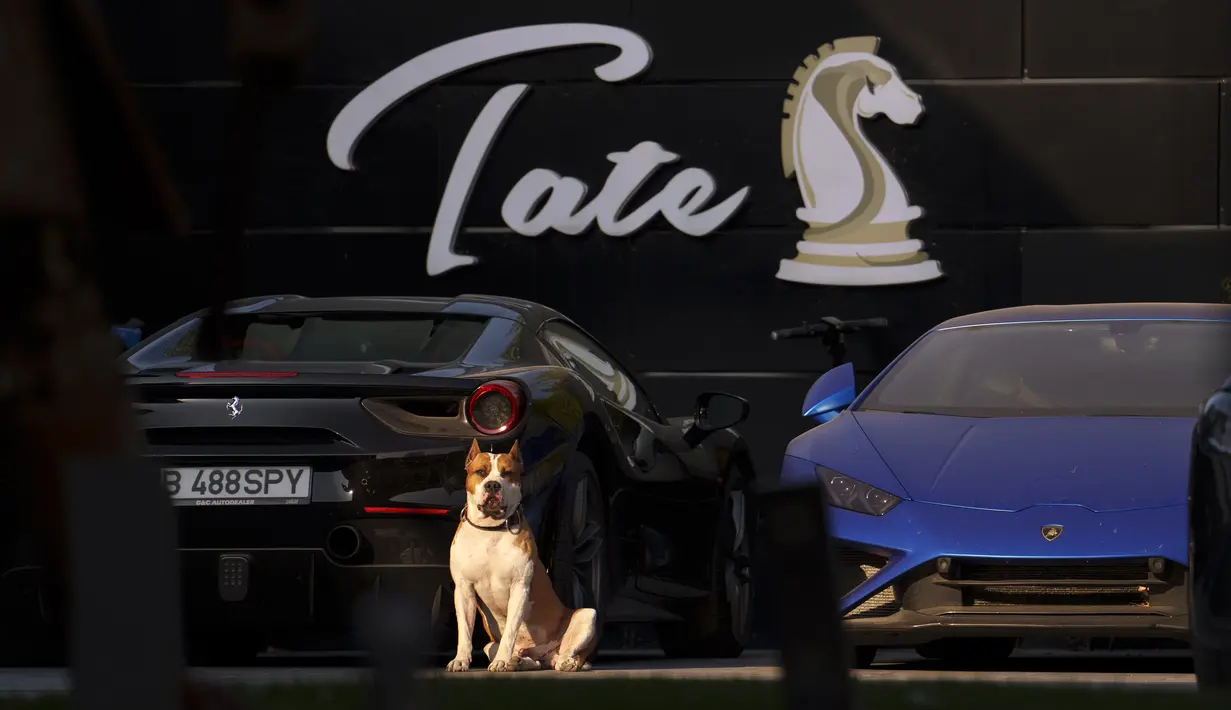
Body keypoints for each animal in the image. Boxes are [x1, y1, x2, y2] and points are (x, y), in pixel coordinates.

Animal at [445, 438, 598, 669]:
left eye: (507, 473)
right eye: (480, 472)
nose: (493, 485)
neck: (491, 529)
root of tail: (544, 654)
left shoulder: (519, 587)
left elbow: (510, 630)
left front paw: (500, 661)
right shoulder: (464, 588)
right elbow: (464, 630)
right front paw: (460, 660)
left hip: (587, 615)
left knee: (569, 654)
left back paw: (565, 662)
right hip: (491, 645)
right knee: (530, 660)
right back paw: (518, 661)